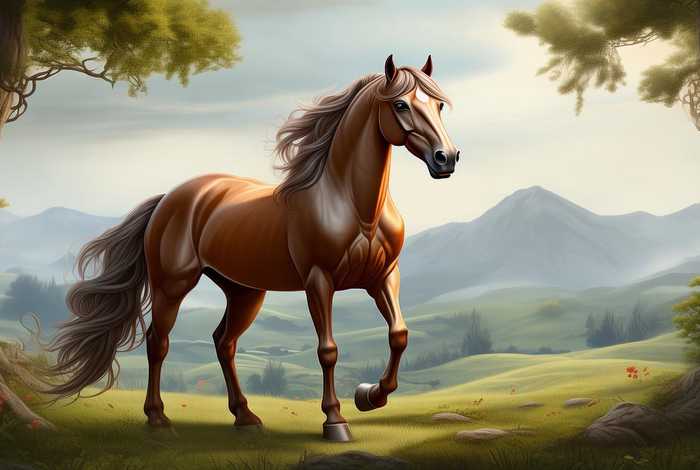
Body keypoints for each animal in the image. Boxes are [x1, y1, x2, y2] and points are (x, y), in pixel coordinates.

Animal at [46, 54, 459, 441]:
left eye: (438, 105)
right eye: (401, 105)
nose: (447, 158)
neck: (354, 207)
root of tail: (170, 199)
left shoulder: (383, 277)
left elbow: (399, 335)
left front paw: (369, 396)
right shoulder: (319, 281)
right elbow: (327, 350)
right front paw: (335, 421)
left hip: (244, 292)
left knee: (224, 343)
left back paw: (245, 416)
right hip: (172, 286)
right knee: (158, 342)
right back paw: (159, 418)